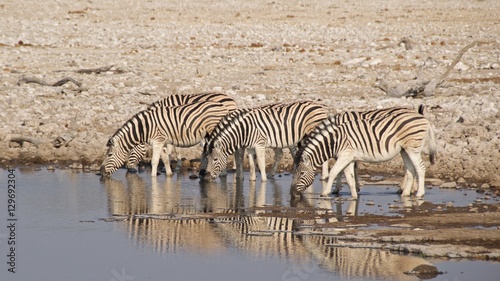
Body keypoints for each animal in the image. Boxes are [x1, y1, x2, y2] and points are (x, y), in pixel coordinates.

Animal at [101, 99, 230, 176]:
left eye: (110, 155)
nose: (101, 171)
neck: (145, 128)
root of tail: (222, 105)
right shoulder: (162, 142)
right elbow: (165, 159)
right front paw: (169, 174)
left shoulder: (157, 141)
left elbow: (154, 161)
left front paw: (153, 179)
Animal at [292, 108, 436, 198]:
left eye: (302, 173)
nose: (292, 193)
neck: (335, 141)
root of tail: (423, 118)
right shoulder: (348, 157)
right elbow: (348, 176)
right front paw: (354, 194)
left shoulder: (345, 155)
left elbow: (334, 172)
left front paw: (326, 192)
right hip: (404, 150)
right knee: (410, 169)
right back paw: (405, 193)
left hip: (413, 148)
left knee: (420, 168)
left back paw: (419, 193)